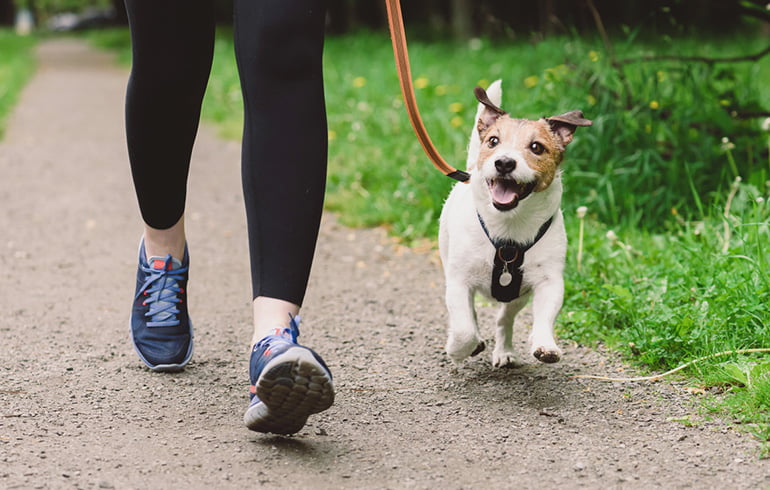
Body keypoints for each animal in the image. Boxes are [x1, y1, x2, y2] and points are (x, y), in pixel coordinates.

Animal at [436, 79, 592, 368]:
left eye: (537, 147)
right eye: (493, 141)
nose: (504, 162)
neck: (509, 228)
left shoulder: (549, 281)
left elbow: (544, 316)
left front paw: (545, 345)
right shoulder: (459, 281)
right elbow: (464, 328)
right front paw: (458, 349)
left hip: (517, 296)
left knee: (504, 319)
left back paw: (504, 350)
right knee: (470, 316)